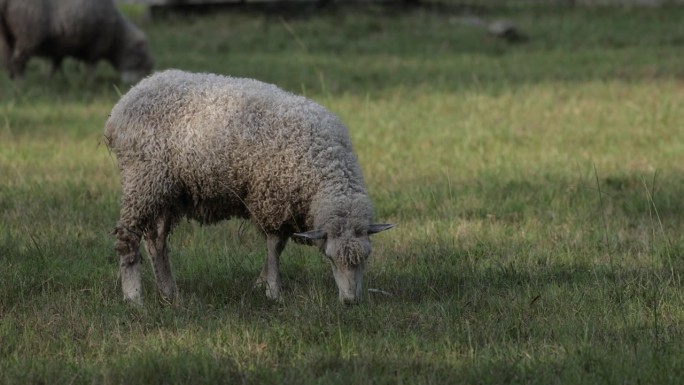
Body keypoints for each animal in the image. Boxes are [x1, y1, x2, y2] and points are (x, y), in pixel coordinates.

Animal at [101, 68, 390, 304]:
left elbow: (277, 246)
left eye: (366, 258)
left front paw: (262, 282)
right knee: (128, 239)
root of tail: (122, 105)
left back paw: (169, 292)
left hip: (167, 190)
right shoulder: (271, 198)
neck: (324, 165)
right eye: (330, 258)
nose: (351, 302)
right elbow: (275, 245)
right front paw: (272, 289)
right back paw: (134, 298)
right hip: (143, 179)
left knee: (156, 241)